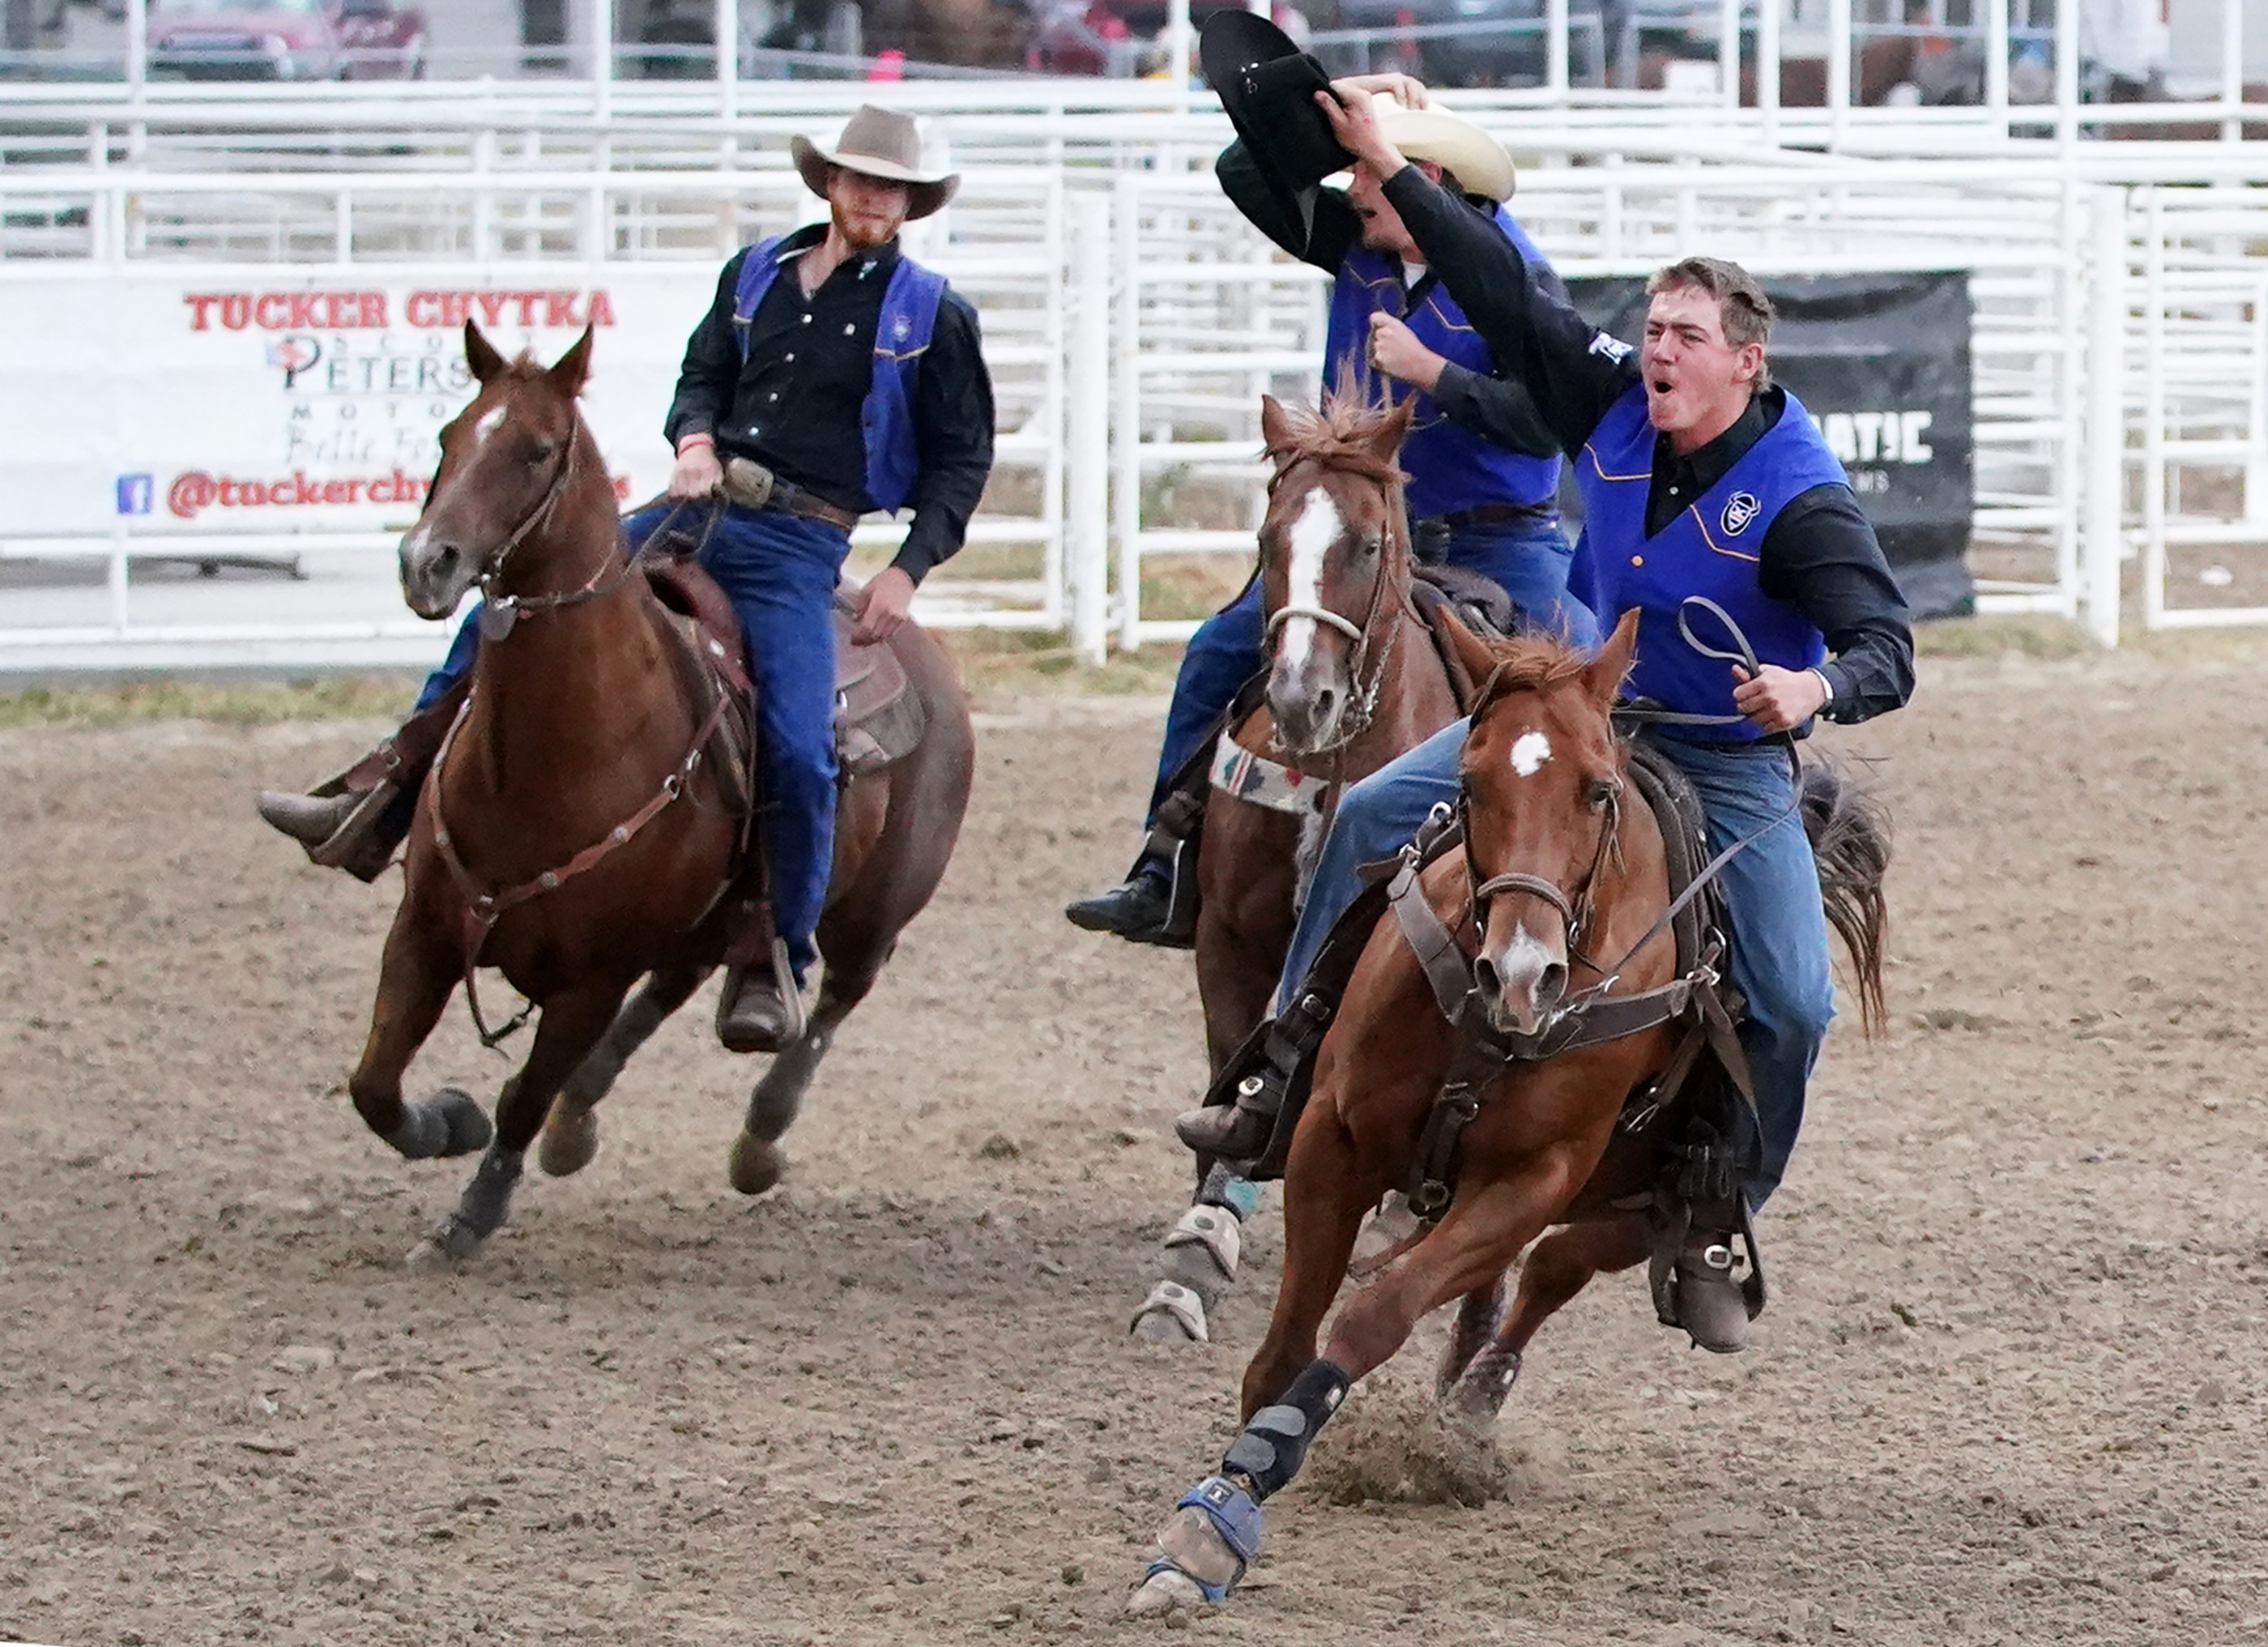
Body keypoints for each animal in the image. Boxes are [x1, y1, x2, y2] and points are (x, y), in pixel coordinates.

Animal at [353, 326, 975, 1279]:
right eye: (450, 434)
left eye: (538, 449)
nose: (428, 562)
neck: (551, 760)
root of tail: (916, 644)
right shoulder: (424, 927)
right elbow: (375, 1085)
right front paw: (445, 1120)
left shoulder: (590, 979)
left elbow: (520, 1095)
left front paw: (469, 1215)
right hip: (706, 916)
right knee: (685, 978)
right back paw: (581, 1118)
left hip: (875, 910)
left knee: (831, 1000)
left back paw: (760, 1134)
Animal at [1124, 392, 1460, 1351]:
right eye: (1269, 537)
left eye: (1370, 543)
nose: (1299, 698)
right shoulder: (1230, 938)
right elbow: (1238, 1056)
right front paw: (1195, 1250)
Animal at [1124, 617, 1886, 1615]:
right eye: (1470, 780)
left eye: (1598, 790)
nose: (1522, 975)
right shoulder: (1332, 1138)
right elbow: (1283, 1350)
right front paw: (1219, 1510)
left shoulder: (1532, 1179)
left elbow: (1375, 1316)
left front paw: (1227, 1511)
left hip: (1645, 1205)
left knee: (1558, 1267)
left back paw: (1477, 1402)